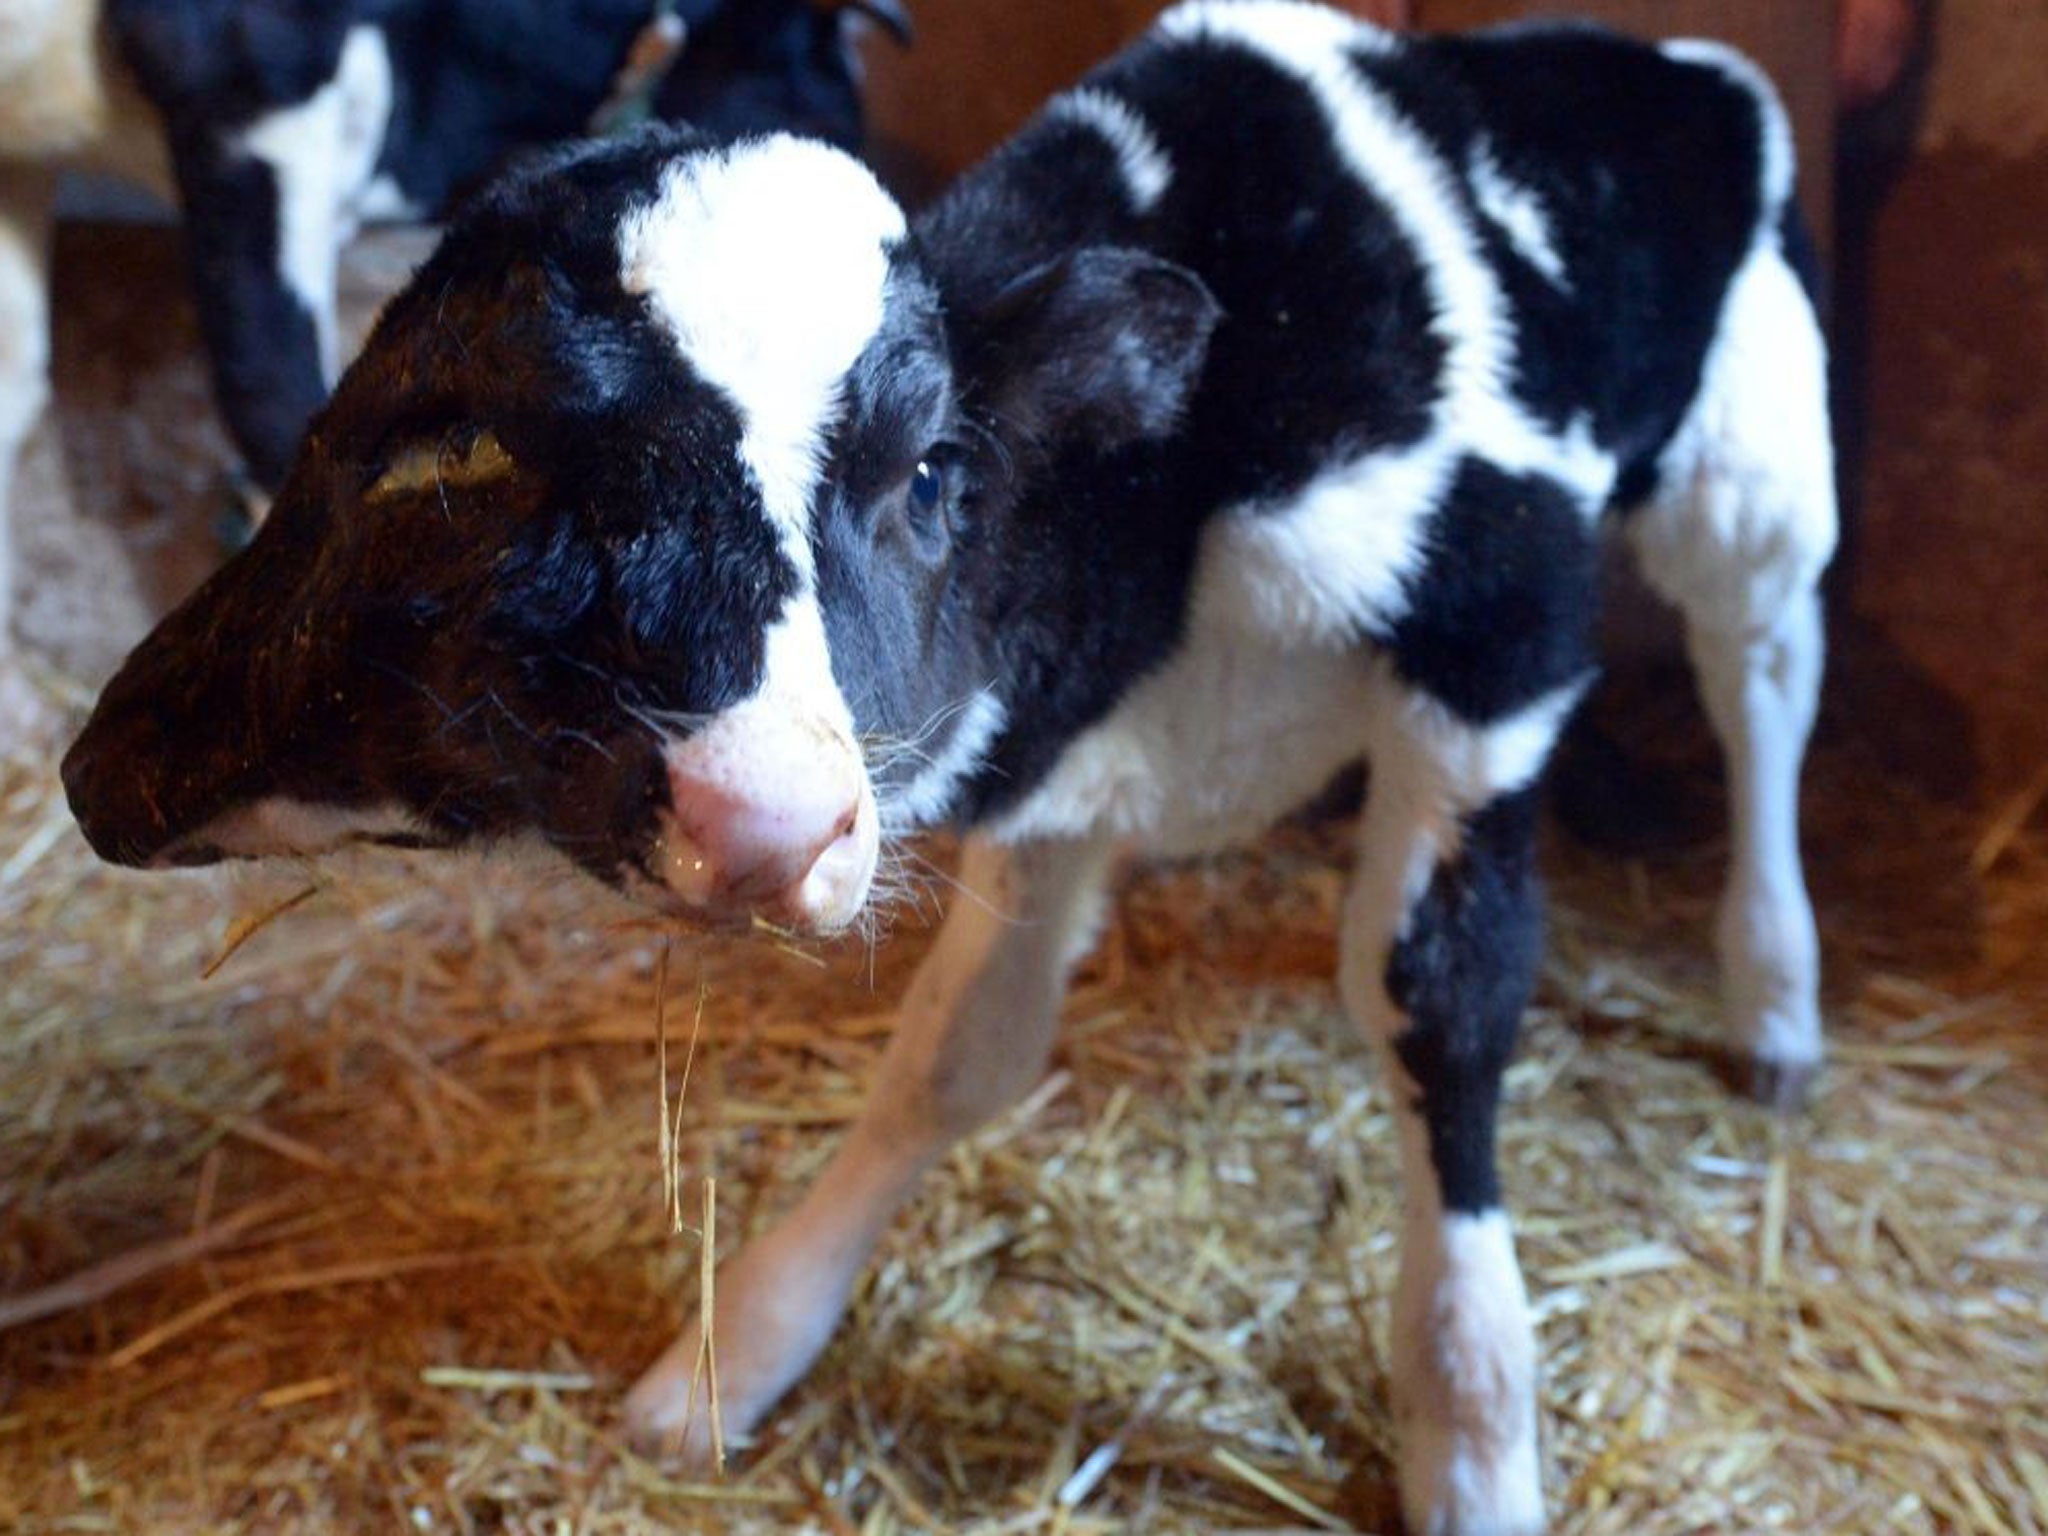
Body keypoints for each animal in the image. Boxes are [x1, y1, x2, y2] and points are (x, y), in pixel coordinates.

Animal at [59, 6, 1843, 1531]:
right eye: (444, 456)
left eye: (928, 471)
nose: (762, 815)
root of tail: (1637, 56)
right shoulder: (1056, 779)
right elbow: (953, 1058)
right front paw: (740, 1350)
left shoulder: (1497, 653)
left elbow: (1440, 1003)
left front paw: (1472, 1441)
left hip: (1758, 480)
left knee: (1763, 688)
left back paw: (1774, 997)